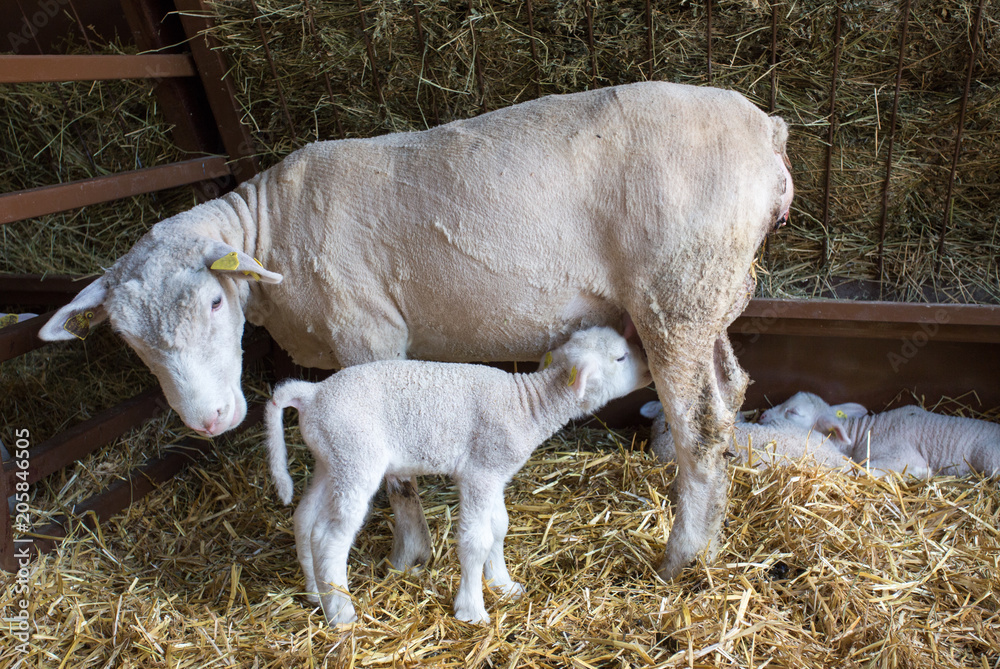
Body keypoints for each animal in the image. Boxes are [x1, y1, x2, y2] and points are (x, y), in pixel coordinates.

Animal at [39, 81, 793, 578]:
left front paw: (410, 555)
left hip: (677, 289)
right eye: (130, 340)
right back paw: (714, 535)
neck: (270, 231)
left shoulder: (366, 333)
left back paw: (680, 556)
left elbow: (395, 471)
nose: (208, 420)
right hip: (709, 296)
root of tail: (768, 132)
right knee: (729, 395)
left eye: (215, 305)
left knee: (700, 426)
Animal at [265, 327, 651, 624]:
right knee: (328, 539)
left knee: (304, 519)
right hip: (355, 460)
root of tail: (312, 393)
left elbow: (499, 528)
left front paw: (503, 585)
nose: (649, 369)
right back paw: (341, 614)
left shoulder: (494, 472)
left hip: (331, 460)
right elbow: (476, 541)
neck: (528, 405)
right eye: (620, 358)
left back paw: (314, 593)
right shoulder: (478, 474)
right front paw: (472, 610)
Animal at [761, 392, 1000, 478]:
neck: (863, 432)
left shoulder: (902, 455)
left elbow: (863, 470)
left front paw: (920, 473)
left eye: (793, 412)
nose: (762, 415)